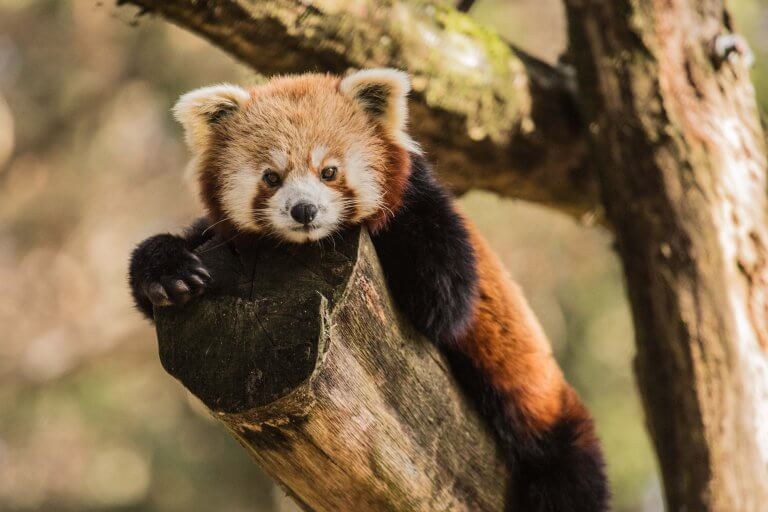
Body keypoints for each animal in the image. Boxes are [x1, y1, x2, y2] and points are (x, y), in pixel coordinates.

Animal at [128, 69, 609, 512]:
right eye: (271, 177)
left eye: (329, 171)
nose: (304, 210)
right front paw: (167, 270)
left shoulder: (431, 217)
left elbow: (444, 298)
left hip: (547, 423)